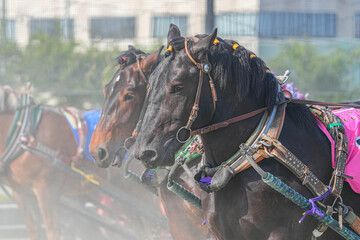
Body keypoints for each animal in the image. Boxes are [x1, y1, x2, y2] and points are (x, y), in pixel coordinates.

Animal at [0, 85, 163, 240]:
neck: (26, 131)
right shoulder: (21, 192)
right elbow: (34, 230)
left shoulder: (46, 189)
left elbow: (53, 231)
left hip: (138, 191)